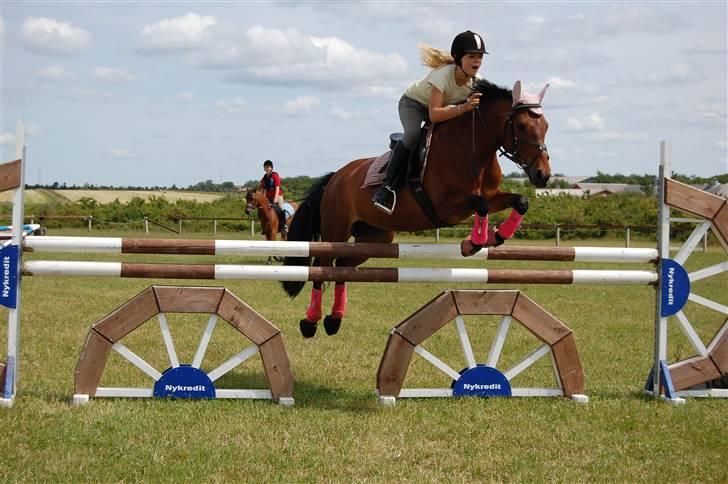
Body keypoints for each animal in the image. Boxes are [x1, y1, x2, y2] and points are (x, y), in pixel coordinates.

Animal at [282, 79, 548, 336]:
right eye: (521, 126)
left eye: (545, 126)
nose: (543, 175)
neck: (472, 150)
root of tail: (336, 176)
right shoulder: (446, 206)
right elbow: (480, 205)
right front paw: (474, 243)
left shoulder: (491, 197)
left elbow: (520, 201)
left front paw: (495, 236)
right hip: (335, 230)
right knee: (323, 267)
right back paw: (310, 323)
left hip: (375, 237)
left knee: (342, 267)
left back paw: (334, 320)